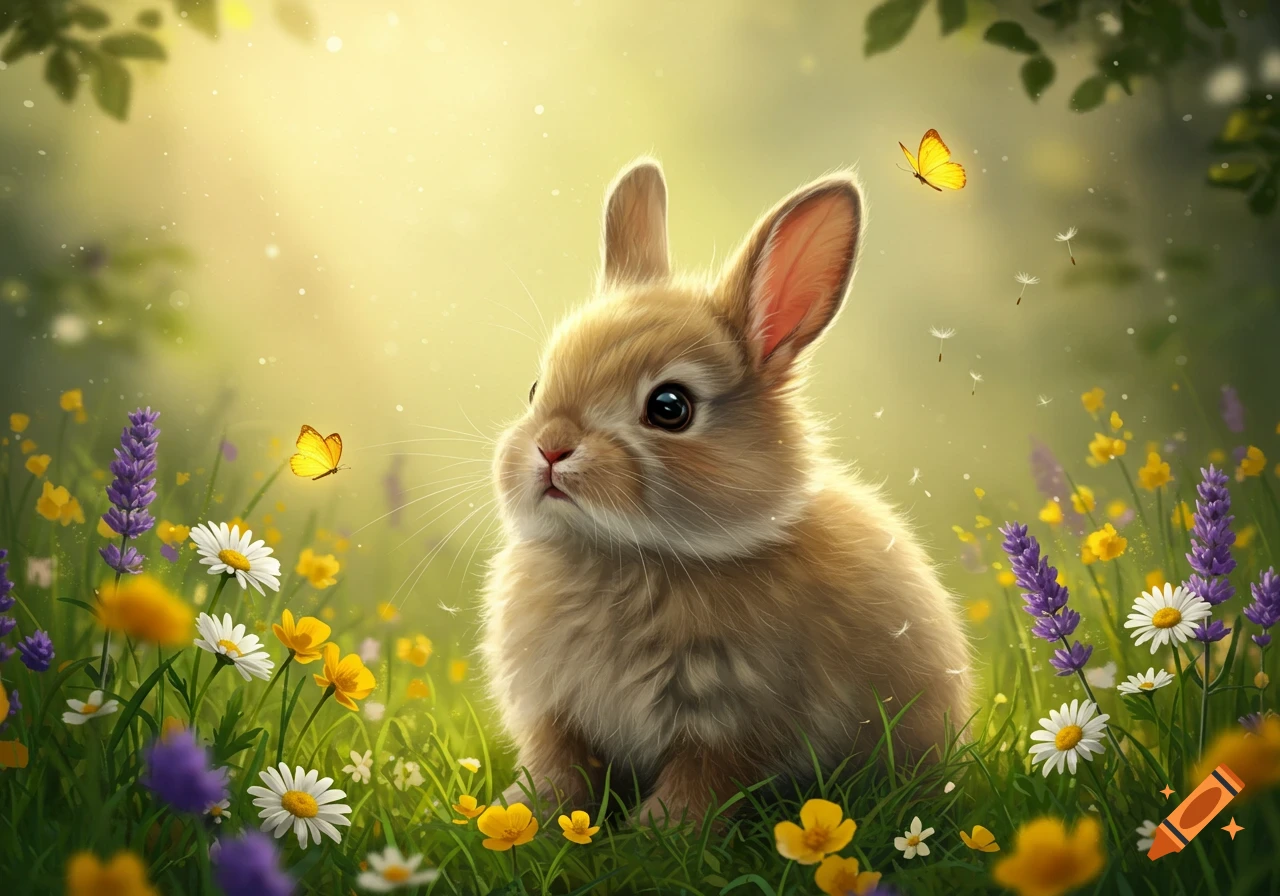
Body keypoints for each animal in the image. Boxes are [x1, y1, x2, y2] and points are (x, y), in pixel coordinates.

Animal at [481, 158, 972, 826]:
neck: (623, 556)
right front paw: (519, 819)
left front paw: (656, 834)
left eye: (669, 407)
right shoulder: (556, 715)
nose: (551, 448)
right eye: (535, 389)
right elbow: (560, 773)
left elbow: (699, 784)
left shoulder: (733, 724)